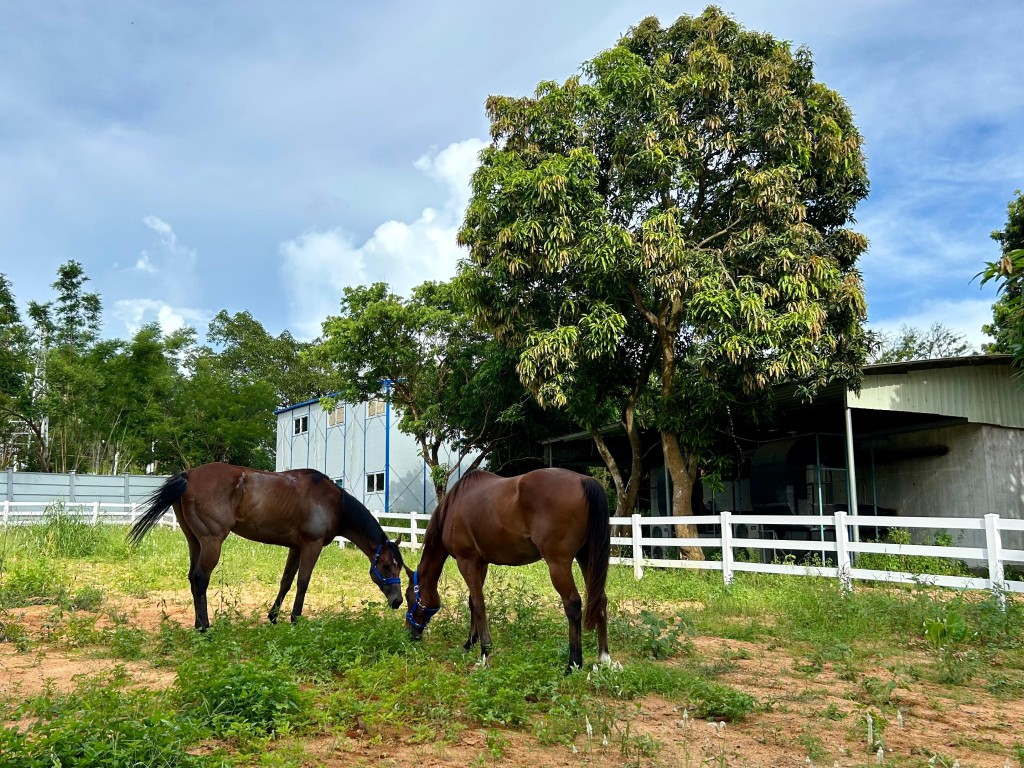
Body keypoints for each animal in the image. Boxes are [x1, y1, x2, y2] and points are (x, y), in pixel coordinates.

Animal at [125, 462, 401, 630]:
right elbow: (303, 582)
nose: (397, 601)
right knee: (201, 579)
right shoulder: (311, 546)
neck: (333, 503)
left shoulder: (296, 547)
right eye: (386, 566)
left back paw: (197, 624)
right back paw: (206, 628)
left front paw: (273, 616)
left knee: (193, 578)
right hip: (212, 542)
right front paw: (295, 619)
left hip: (195, 542)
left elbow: (286, 582)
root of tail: (188, 476)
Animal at [401, 466, 610, 671]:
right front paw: (470, 643)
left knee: (573, 604)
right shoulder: (480, 563)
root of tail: (584, 480)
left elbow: (479, 604)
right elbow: (472, 602)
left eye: (409, 596)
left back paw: (574, 663)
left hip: (558, 564)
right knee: (600, 598)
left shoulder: (466, 561)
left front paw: (484, 652)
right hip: (586, 558)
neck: (454, 506)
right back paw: (604, 658)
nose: (409, 633)